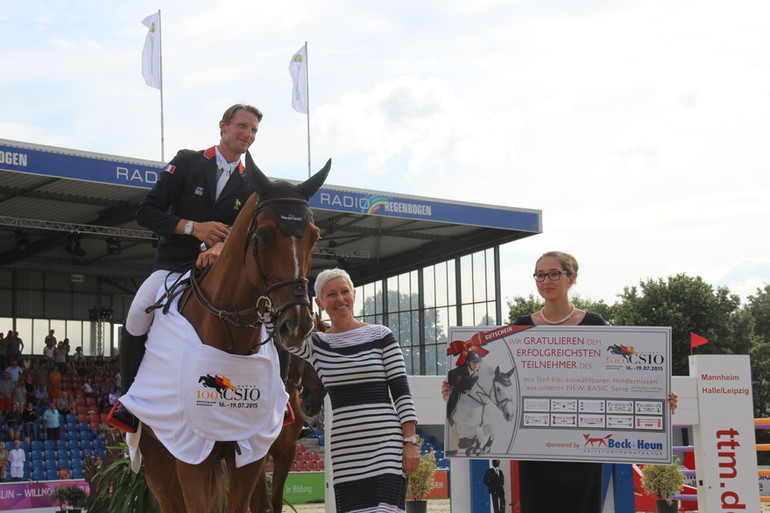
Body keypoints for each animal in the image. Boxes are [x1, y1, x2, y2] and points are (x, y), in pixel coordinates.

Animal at [136, 155, 328, 512]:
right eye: (264, 235)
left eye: (315, 236)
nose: (295, 324)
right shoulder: (191, 456)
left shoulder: (260, 453)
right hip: (158, 456)